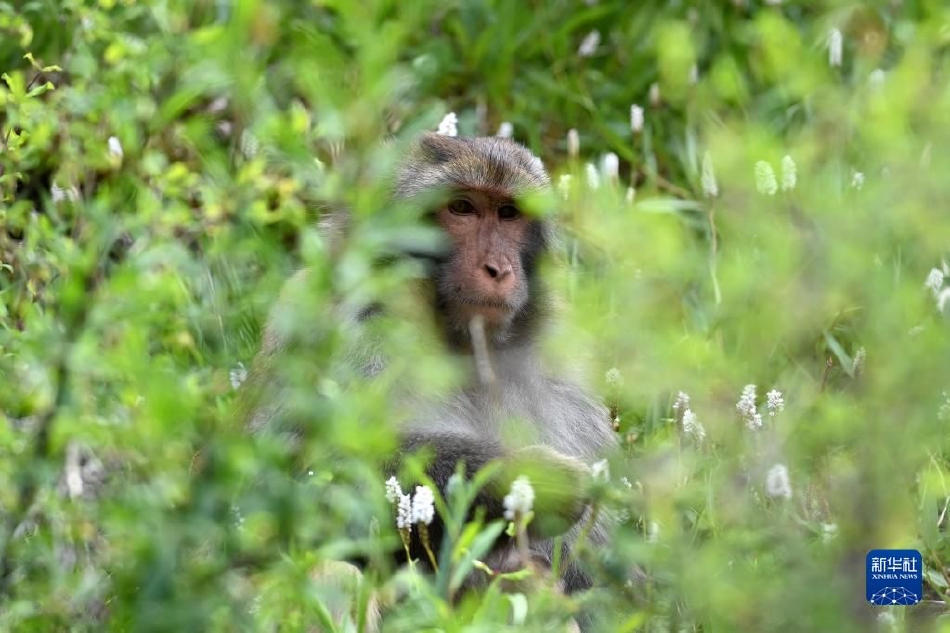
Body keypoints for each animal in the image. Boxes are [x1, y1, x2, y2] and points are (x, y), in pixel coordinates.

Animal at [238, 131, 620, 604]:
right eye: (462, 208)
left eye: (508, 213)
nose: (498, 269)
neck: (460, 342)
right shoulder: (339, 319)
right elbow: (294, 476)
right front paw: (528, 478)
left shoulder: (560, 360)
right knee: (336, 573)